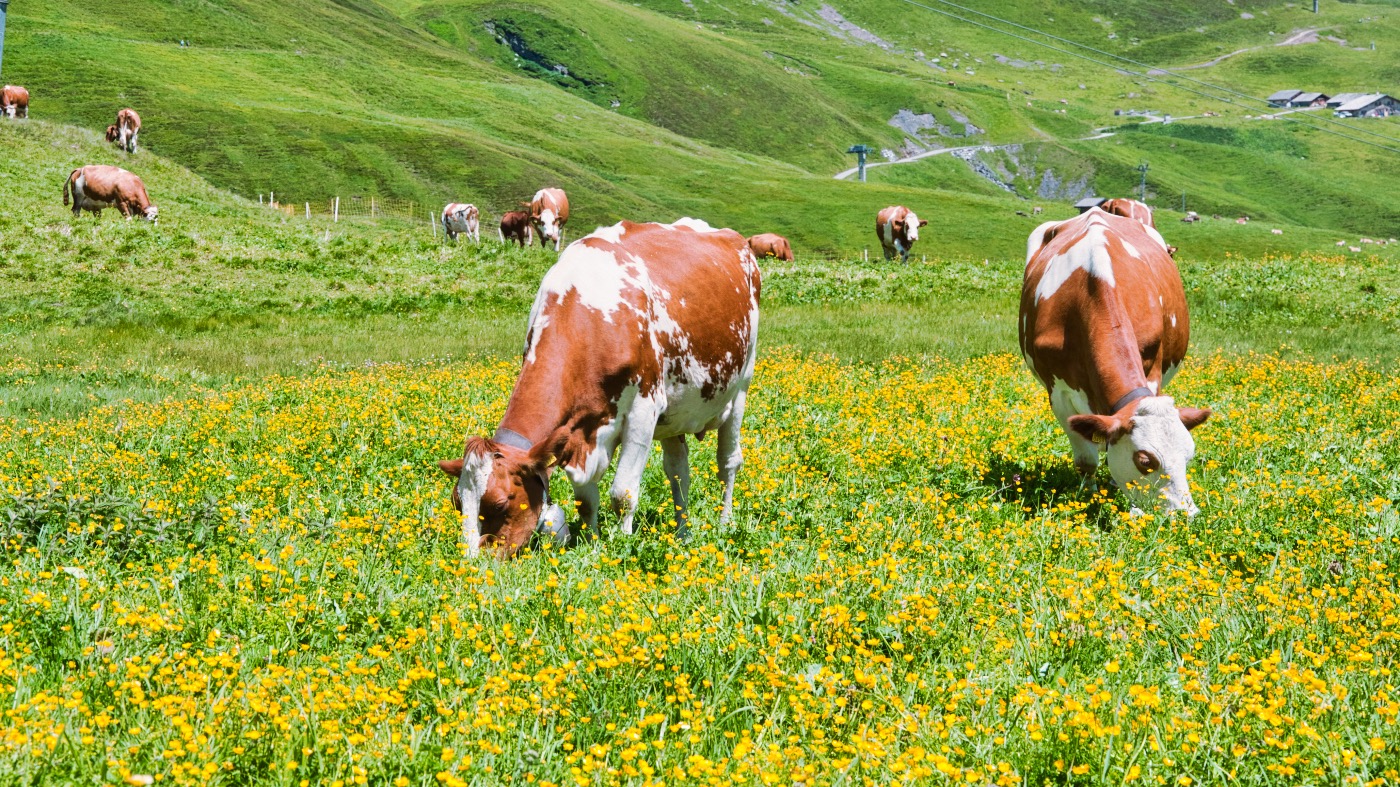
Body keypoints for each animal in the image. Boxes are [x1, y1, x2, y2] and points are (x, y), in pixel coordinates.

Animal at [437, 218, 761, 558]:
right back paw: (682, 533)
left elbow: (623, 494)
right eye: (457, 504)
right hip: (675, 413)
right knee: (678, 473)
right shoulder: (579, 433)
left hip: (741, 386)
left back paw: (724, 525)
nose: (471, 562)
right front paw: (593, 549)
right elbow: (586, 500)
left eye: (500, 504)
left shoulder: (644, 410)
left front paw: (622, 546)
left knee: (727, 462)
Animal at [1019, 207, 1210, 515]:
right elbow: (1086, 460)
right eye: (1145, 461)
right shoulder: (1058, 394)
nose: (1187, 515)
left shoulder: (1152, 372)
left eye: (1188, 454)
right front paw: (1088, 495)